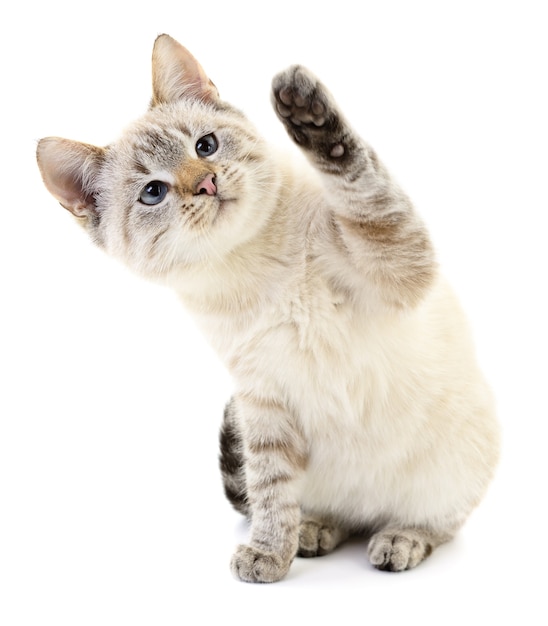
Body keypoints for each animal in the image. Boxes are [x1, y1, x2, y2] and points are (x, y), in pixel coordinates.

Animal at [36, 34, 498, 580]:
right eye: (153, 192)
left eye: (205, 146)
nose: (208, 183)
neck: (252, 266)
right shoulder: (263, 399)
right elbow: (271, 491)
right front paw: (270, 554)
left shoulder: (396, 258)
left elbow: (359, 182)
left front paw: (309, 118)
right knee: (333, 513)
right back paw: (316, 529)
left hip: (456, 466)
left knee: (432, 524)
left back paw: (399, 538)